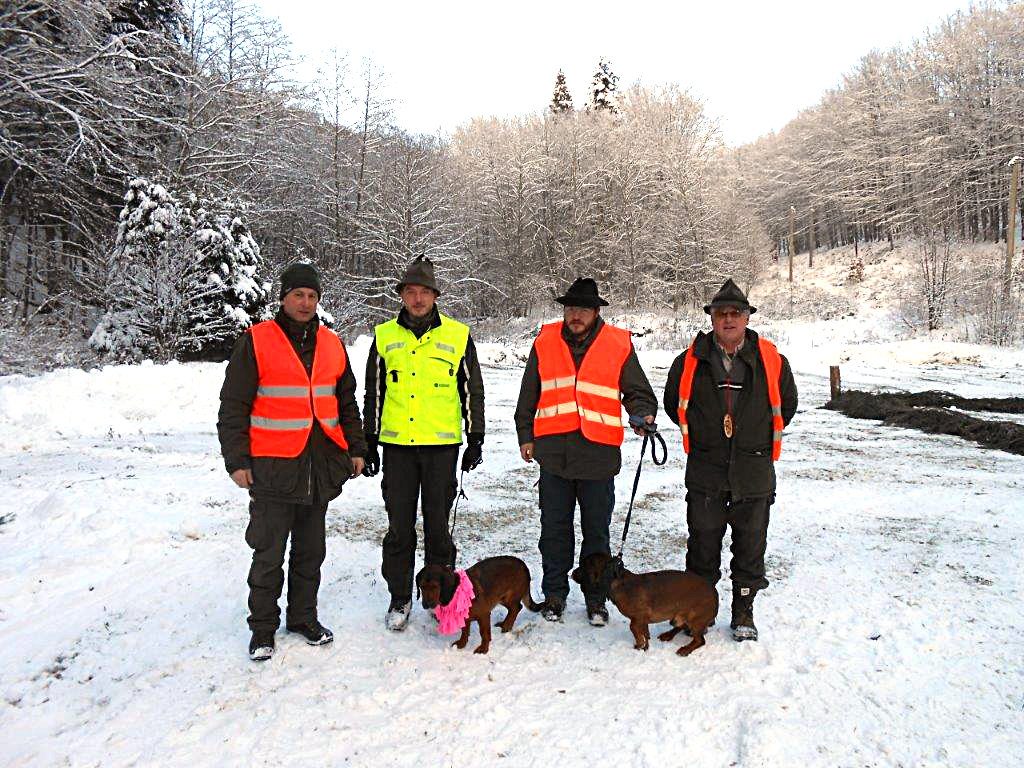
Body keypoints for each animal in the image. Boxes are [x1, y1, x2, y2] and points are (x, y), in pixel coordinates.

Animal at [415, 557, 544, 659]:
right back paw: (505, 623)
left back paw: (507, 626)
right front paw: (461, 644)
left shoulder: (484, 615)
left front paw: (483, 649)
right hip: (501, 598)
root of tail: (523, 565)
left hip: (510, 597)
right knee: (515, 608)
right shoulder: (466, 617)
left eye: (435, 586)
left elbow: (484, 634)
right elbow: (464, 632)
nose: (426, 604)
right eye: (421, 586)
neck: (455, 591)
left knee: (516, 608)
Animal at [569, 552, 720, 655]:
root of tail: (714, 593)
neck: (618, 581)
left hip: (695, 620)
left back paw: (685, 649)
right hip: (678, 618)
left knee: (700, 641)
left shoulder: (637, 618)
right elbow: (644, 632)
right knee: (680, 626)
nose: (571, 573)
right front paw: (645, 644)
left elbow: (634, 629)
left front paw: (639, 645)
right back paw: (667, 635)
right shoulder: (642, 620)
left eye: (583, 566)